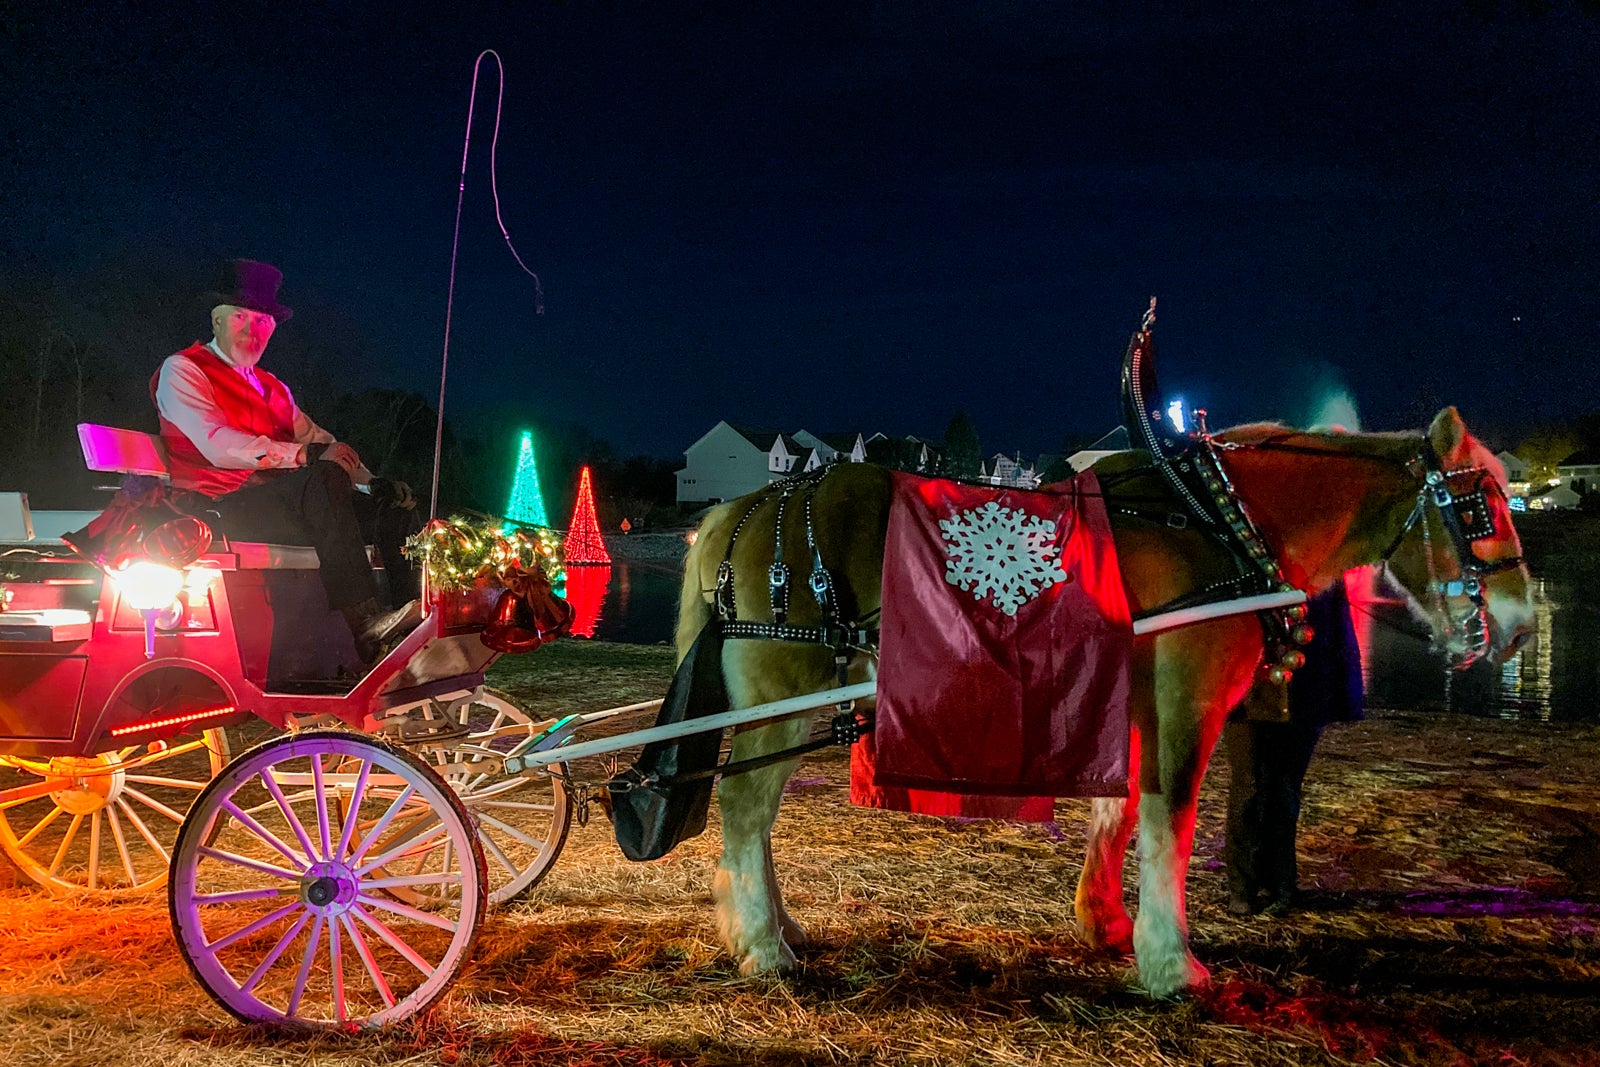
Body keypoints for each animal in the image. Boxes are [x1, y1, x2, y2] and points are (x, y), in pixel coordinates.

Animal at [675, 409, 1536, 1004]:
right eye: (1482, 504)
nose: (1525, 623)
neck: (1221, 519)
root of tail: (736, 511)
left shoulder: (1129, 702)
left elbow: (1118, 813)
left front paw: (1106, 923)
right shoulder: (1187, 698)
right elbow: (1170, 820)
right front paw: (1171, 961)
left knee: (756, 813)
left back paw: (773, 925)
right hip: (783, 694)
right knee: (745, 805)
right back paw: (764, 945)